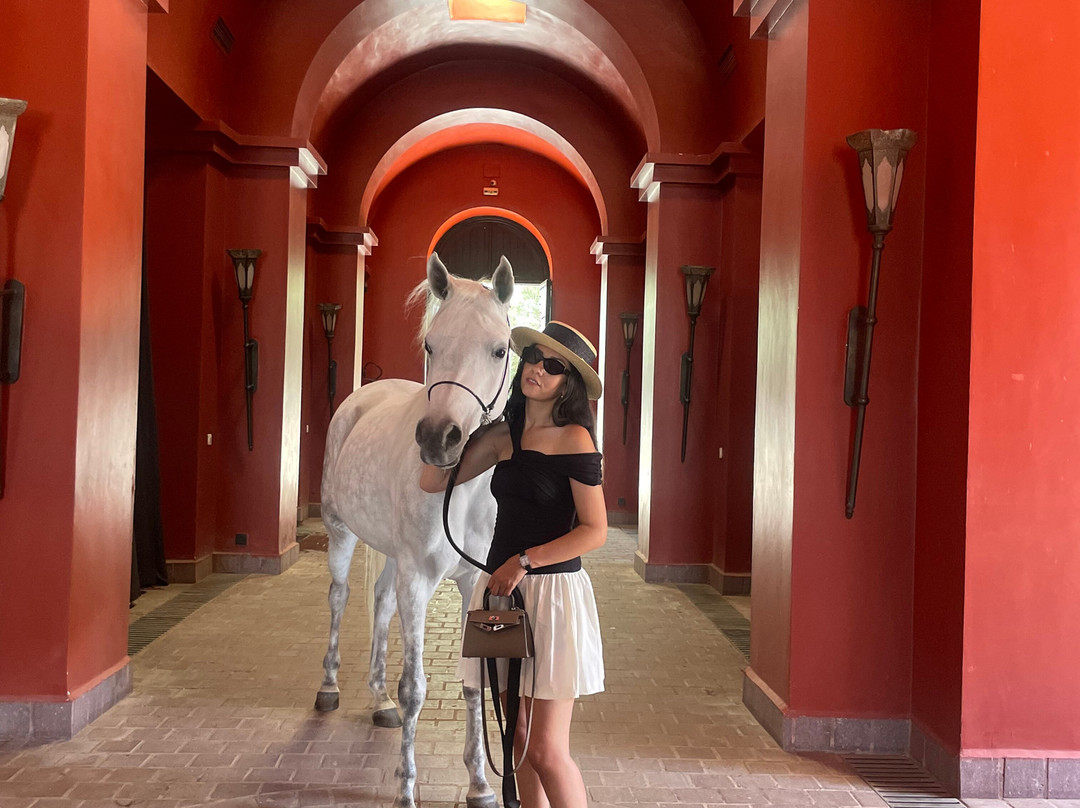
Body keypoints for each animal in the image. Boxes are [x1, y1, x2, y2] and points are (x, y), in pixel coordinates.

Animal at [317, 253, 514, 808]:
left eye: (499, 349)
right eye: (431, 344)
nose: (437, 438)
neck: (459, 491)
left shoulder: (476, 584)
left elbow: (472, 683)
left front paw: (480, 784)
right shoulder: (419, 581)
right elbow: (416, 689)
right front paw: (406, 787)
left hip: (391, 559)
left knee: (381, 604)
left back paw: (378, 700)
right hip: (342, 535)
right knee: (340, 598)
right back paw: (330, 688)